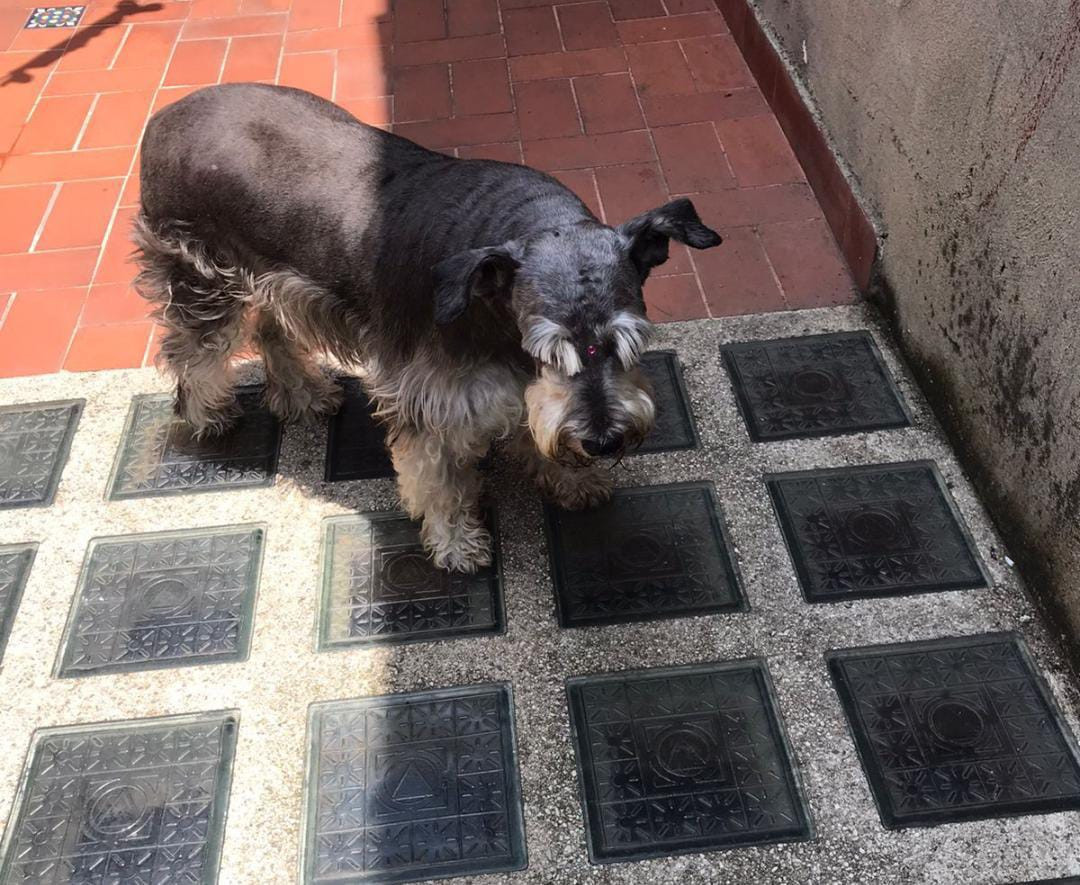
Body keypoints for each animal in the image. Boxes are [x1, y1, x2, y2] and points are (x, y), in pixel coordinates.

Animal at [132, 83, 723, 572]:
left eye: (626, 343)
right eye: (549, 352)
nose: (603, 440)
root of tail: (163, 117)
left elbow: (537, 424)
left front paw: (572, 477)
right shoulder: (429, 402)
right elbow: (438, 482)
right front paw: (457, 544)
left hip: (277, 276)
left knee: (272, 328)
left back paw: (301, 392)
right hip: (205, 279)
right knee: (194, 350)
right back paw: (207, 415)